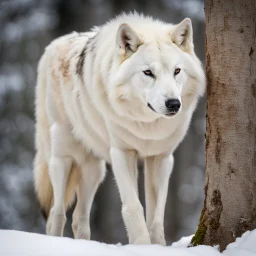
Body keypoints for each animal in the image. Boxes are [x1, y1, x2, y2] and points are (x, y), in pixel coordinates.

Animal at [34, 13, 205, 245]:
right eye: (148, 72)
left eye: (177, 71)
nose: (173, 104)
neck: (148, 125)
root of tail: (53, 45)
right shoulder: (123, 154)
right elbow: (133, 206)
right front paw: (141, 245)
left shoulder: (161, 158)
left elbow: (157, 213)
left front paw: (158, 246)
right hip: (63, 159)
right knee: (56, 212)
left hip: (94, 170)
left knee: (79, 218)